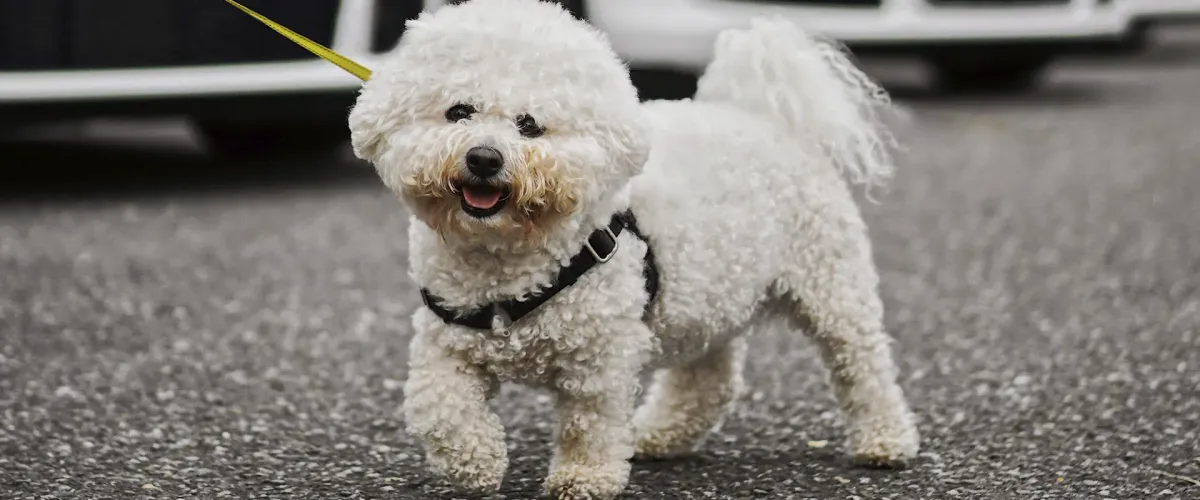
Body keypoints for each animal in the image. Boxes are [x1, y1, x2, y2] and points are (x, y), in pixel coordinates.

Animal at [348, 0, 916, 494]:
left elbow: (589, 423)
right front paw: (476, 463)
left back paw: (885, 440)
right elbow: (438, 406)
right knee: (710, 379)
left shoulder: (599, 357)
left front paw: (584, 479)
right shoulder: (445, 342)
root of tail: (767, 117)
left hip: (831, 282)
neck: (506, 258)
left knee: (862, 364)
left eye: (529, 125)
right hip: (706, 297)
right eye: (458, 112)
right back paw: (660, 434)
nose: (484, 158)